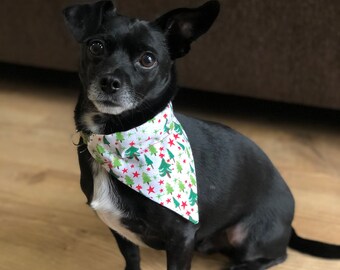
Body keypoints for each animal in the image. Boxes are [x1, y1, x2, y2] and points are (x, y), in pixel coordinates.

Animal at [63, 1, 340, 268]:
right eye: (96, 46)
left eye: (148, 59)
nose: (109, 82)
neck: (116, 139)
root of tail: (290, 225)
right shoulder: (120, 231)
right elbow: (132, 260)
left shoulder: (180, 238)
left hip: (245, 234)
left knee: (277, 256)